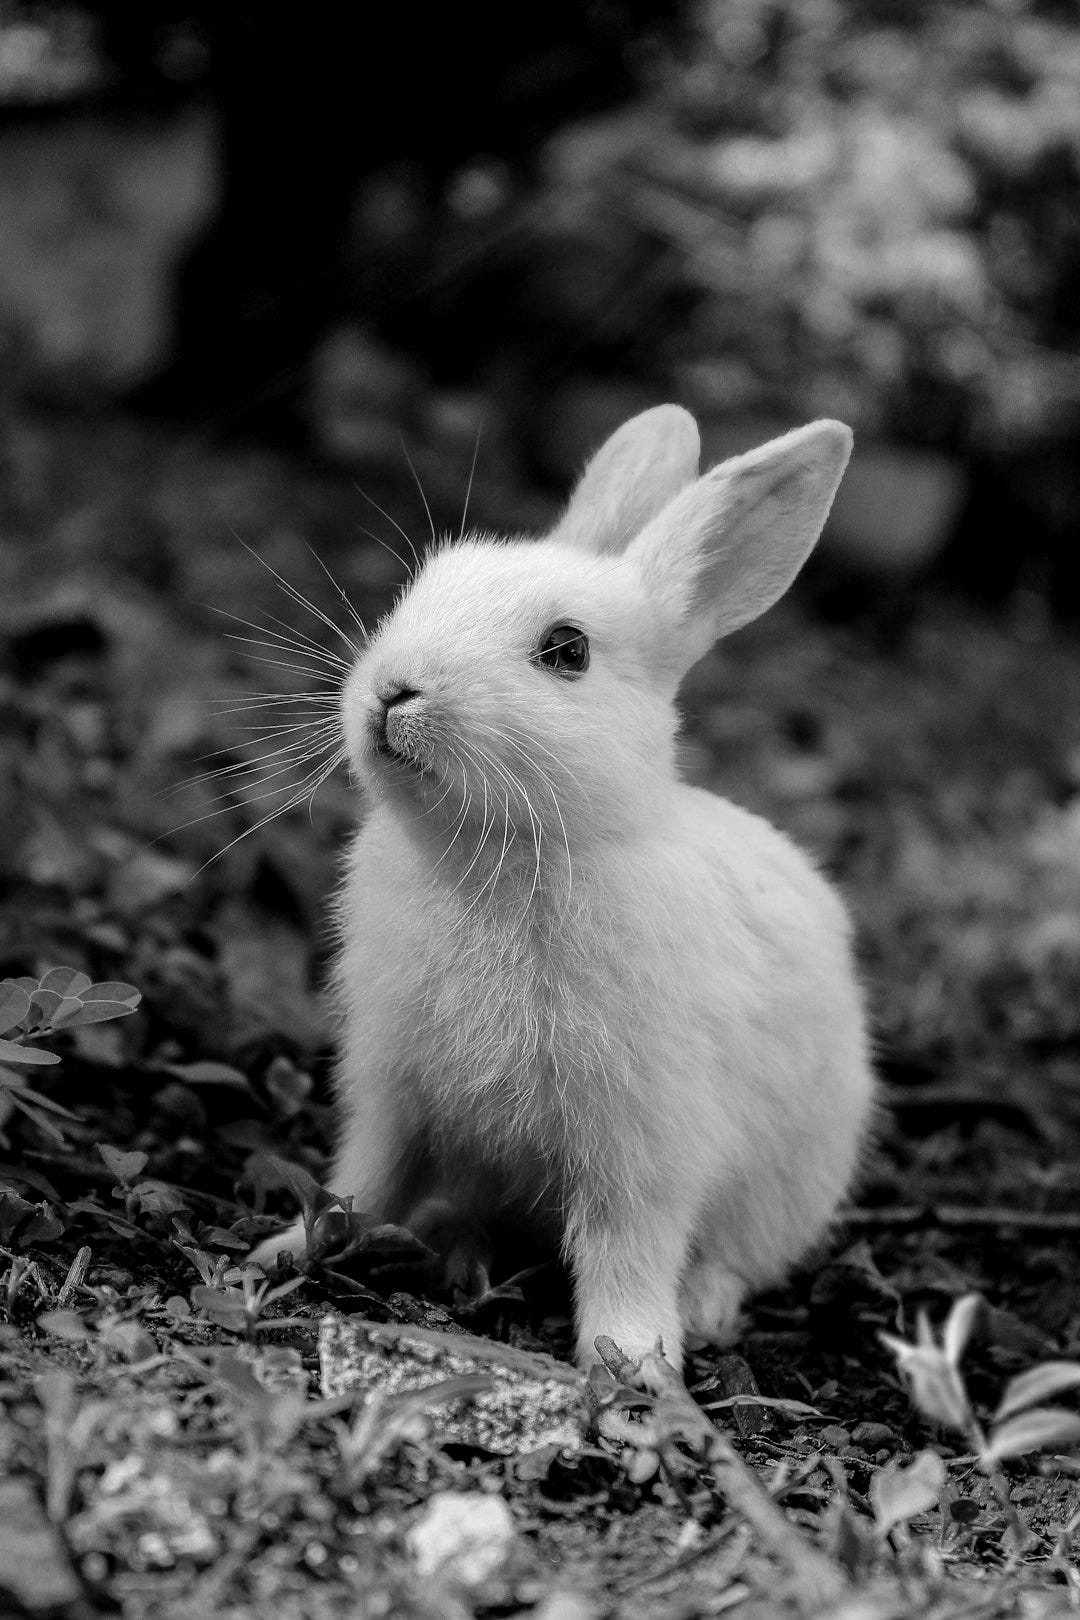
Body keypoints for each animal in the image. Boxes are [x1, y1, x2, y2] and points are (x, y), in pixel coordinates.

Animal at [250, 405, 876, 1370]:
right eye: (422, 588)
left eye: (567, 650)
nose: (393, 691)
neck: (500, 852)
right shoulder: (389, 1087)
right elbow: (364, 1177)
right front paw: (289, 1248)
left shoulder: (644, 1136)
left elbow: (628, 1243)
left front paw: (632, 1359)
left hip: (793, 1179)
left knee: (737, 1255)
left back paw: (703, 1308)